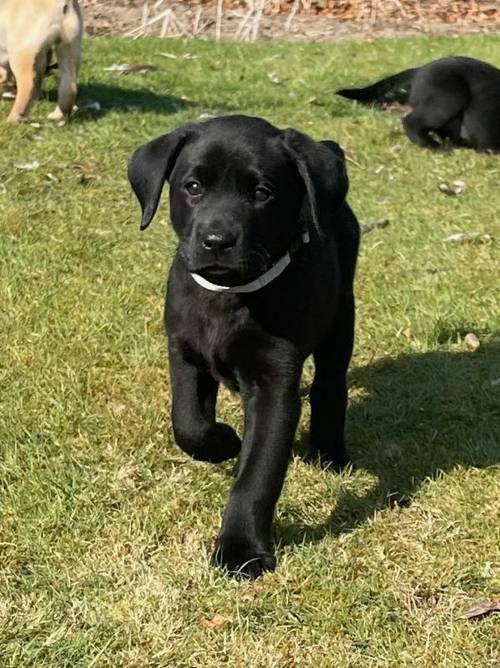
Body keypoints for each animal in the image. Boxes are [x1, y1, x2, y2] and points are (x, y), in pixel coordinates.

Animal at [127, 115, 358, 580]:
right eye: (193, 186)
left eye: (262, 193)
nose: (217, 240)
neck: (230, 296)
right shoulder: (184, 353)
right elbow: (188, 425)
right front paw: (223, 442)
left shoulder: (274, 385)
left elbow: (258, 475)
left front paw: (241, 549)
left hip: (341, 313)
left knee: (330, 385)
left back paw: (329, 451)